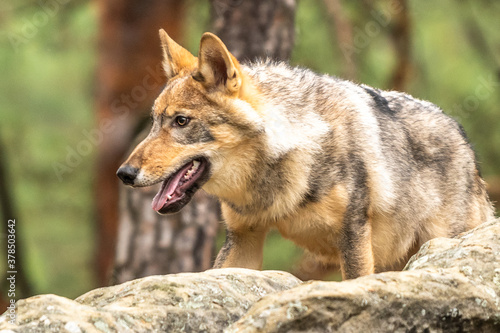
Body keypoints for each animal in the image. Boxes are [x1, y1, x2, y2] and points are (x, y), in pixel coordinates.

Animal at [117, 29, 496, 278]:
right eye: (154, 122)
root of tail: (465, 142)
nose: (124, 174)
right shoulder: (243, 238)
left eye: (181, 121)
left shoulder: (354, 237)